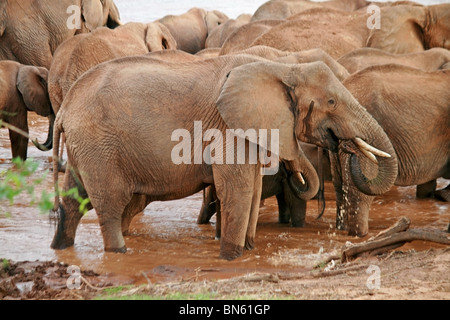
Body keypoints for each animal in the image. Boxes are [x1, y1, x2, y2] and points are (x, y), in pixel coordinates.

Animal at [50, 54, 398, 260]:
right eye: (331, 102)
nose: (346, 147)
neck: (281, 67)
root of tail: (64, 110)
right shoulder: (228, 127)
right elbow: (239, 190)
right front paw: (232, 257)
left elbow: (253, 189)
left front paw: (247, 249)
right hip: (99, 146)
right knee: (109, 202)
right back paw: (119, 252)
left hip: (87, 147)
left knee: (72, 198)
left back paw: (60, 247)